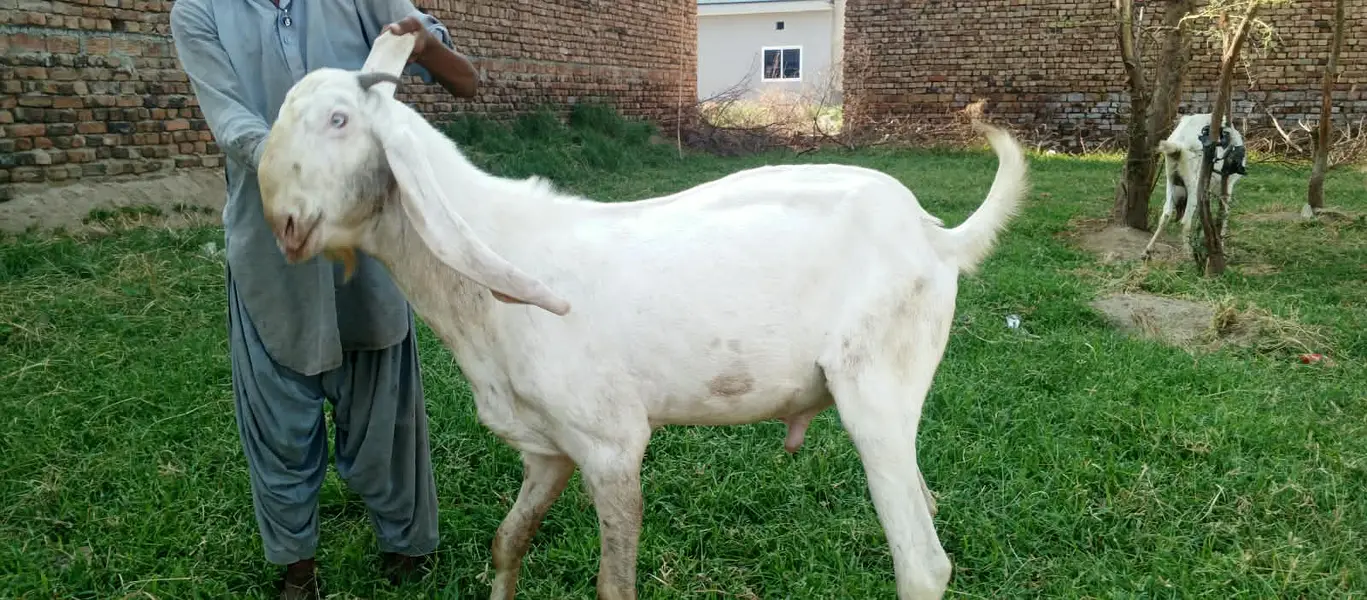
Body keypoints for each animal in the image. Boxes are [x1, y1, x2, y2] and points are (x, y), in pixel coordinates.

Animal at [257, 32, 1028, 600]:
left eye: (339, 120)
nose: (282, 224)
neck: (494, 250)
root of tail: (934, 236)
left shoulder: (612, 444)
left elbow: (613, 585)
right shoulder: (549, 449)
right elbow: (507, 542)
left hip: (876, 388)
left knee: (922, 563)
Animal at [1143, 113, 1248, 258]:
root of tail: (1179, 145)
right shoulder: (1227, 184)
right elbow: (1224, 212)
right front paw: (1221, 245)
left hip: (1171, 181)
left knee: (1166, 214)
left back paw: (1147, 250)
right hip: (1193, 186)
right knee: (1185, 221)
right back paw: (1188, 254)